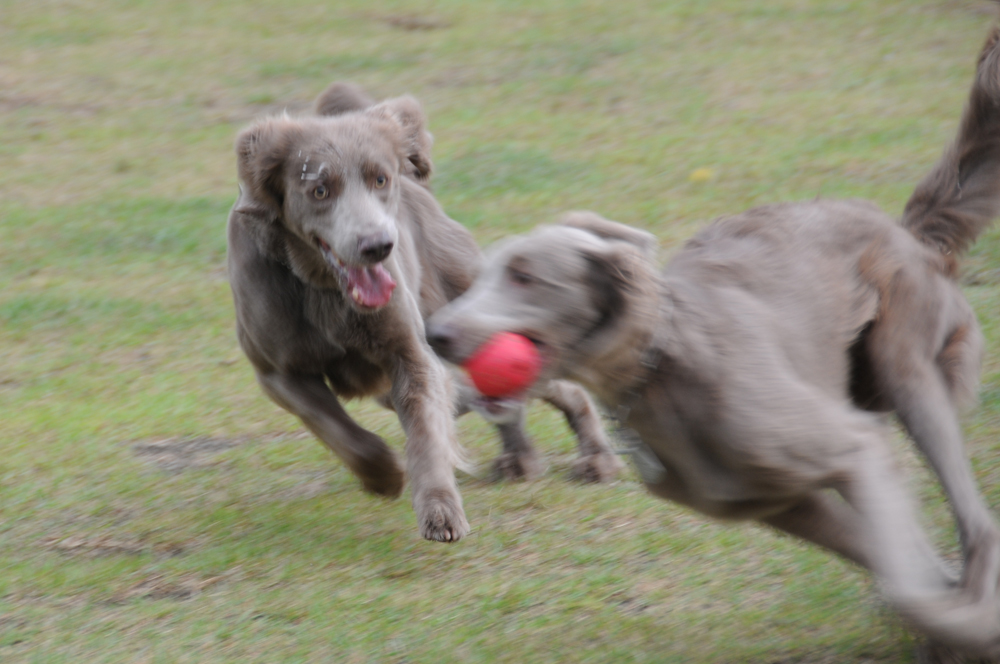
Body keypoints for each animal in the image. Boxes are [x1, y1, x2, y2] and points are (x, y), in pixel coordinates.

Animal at [228, 84, 616, 540]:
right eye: (319, 190)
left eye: (380, 179)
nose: (378, 246)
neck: (321, 286)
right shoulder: (278, 372)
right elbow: (336, 428)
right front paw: (384, 476)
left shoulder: (411, 355)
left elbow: (427, 435)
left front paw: (440, 511)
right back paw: (520, 458)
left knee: (554, 381)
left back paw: (595, 458)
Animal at [432, 23, 1000, 656]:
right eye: (484, 273)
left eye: (525, 276)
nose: (436, 334)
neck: (663, 371)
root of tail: (909, 232)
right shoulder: (785, 503)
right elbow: (897, 566)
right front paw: (945, 620)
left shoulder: (849, 447)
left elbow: (907, 581)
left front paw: (967, 627)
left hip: (906, 365)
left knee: (976, 521)